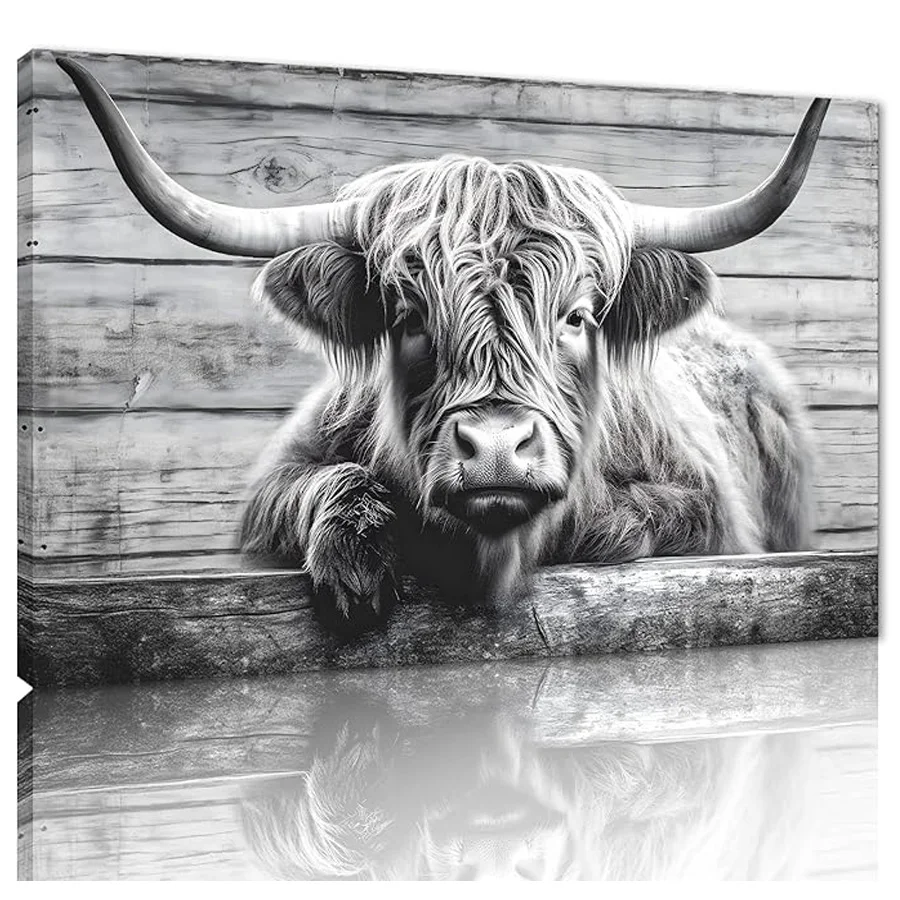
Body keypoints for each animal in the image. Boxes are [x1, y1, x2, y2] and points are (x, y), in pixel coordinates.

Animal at [59, 58, 825, 631]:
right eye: (408, 315)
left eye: (576, 317)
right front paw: (358, 560)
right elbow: (319, 483)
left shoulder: (710, 510)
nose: (496, 448)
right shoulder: (273, 490)